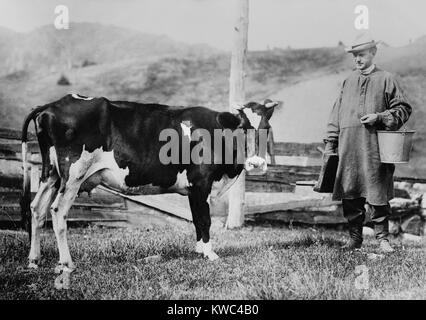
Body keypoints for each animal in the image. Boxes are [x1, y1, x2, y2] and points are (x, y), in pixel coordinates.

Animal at [21, 94, 278, 272]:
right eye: (243, 128)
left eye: (266, 129)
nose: (256, 163)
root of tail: (52, 105)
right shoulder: (201, 183)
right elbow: (205, 220)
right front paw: (210, 253)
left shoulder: (192, 189)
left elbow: (196, 219)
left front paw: (198, 250)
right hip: (73, 174)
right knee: (57, 210)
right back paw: (66, 263)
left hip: (51, 174)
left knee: (37, 208)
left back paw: (34, 260)